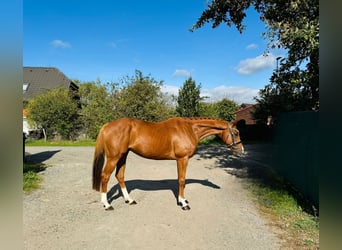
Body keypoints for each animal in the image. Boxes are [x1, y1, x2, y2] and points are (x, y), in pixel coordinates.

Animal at [92, 116, 244, 210]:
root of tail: (107, 125)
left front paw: (183, 200)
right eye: (236, 133)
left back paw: (129, 200)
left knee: (120, 176)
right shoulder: (182, 159)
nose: (241, 150)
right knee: (105, 176)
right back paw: (107, 204)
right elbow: (181, 180)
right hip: (114, 157)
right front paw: (183, 203)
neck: (190, 129)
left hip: (123, 156)